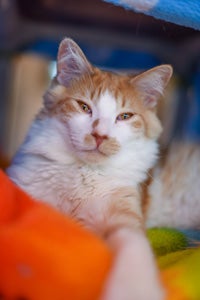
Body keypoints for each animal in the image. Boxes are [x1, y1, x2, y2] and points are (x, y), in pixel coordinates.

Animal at [6, 38, 172, 300]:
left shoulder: (125, 214)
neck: (84, 172)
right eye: (84, 107)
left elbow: (133, 246)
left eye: (125, 116)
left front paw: (135, 289)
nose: (100, 135)